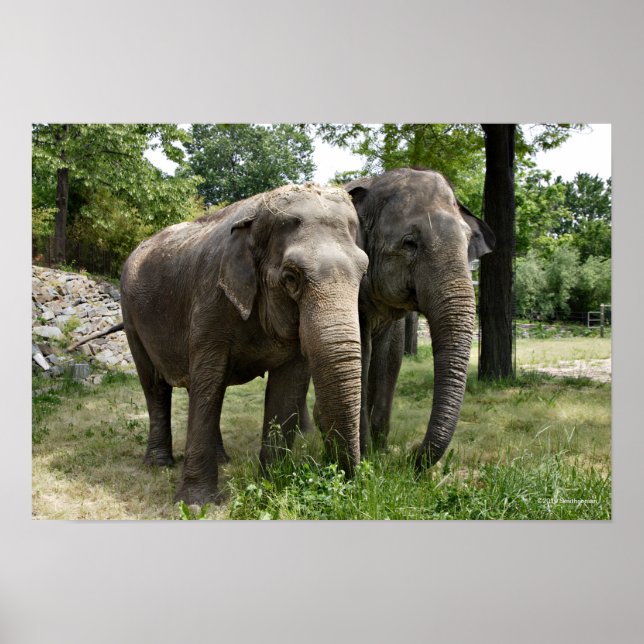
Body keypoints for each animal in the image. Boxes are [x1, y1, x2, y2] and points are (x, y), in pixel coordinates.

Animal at [119, 183, 368, 505]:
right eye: (291, 277)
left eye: (363, 273)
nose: (346, 483)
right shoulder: (211, 299)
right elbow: (208, 377)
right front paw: (195, 503)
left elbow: (287, 387)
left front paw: (271, 487)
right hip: (130, 315)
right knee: (156, 386)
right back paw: (160, 464)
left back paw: (221, 459)